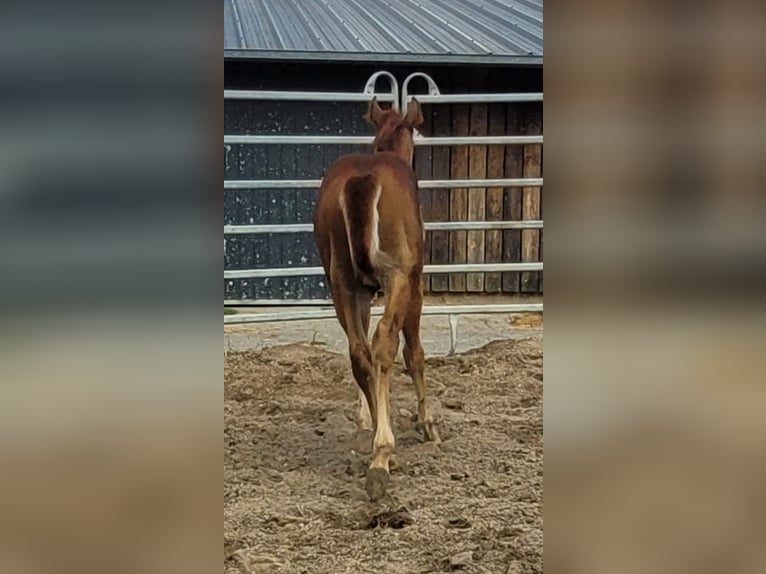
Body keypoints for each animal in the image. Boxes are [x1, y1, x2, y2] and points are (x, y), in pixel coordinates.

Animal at [313, 97, 440, 501]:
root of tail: (363, 178)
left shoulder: (362, 294)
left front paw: (365, 418)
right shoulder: (413, 284)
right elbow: (414, 353)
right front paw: (428, 424)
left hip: (342, 284)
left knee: (360, 353)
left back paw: (377, 445)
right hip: (397, 277)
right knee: (383, 344)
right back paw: (382, 455)